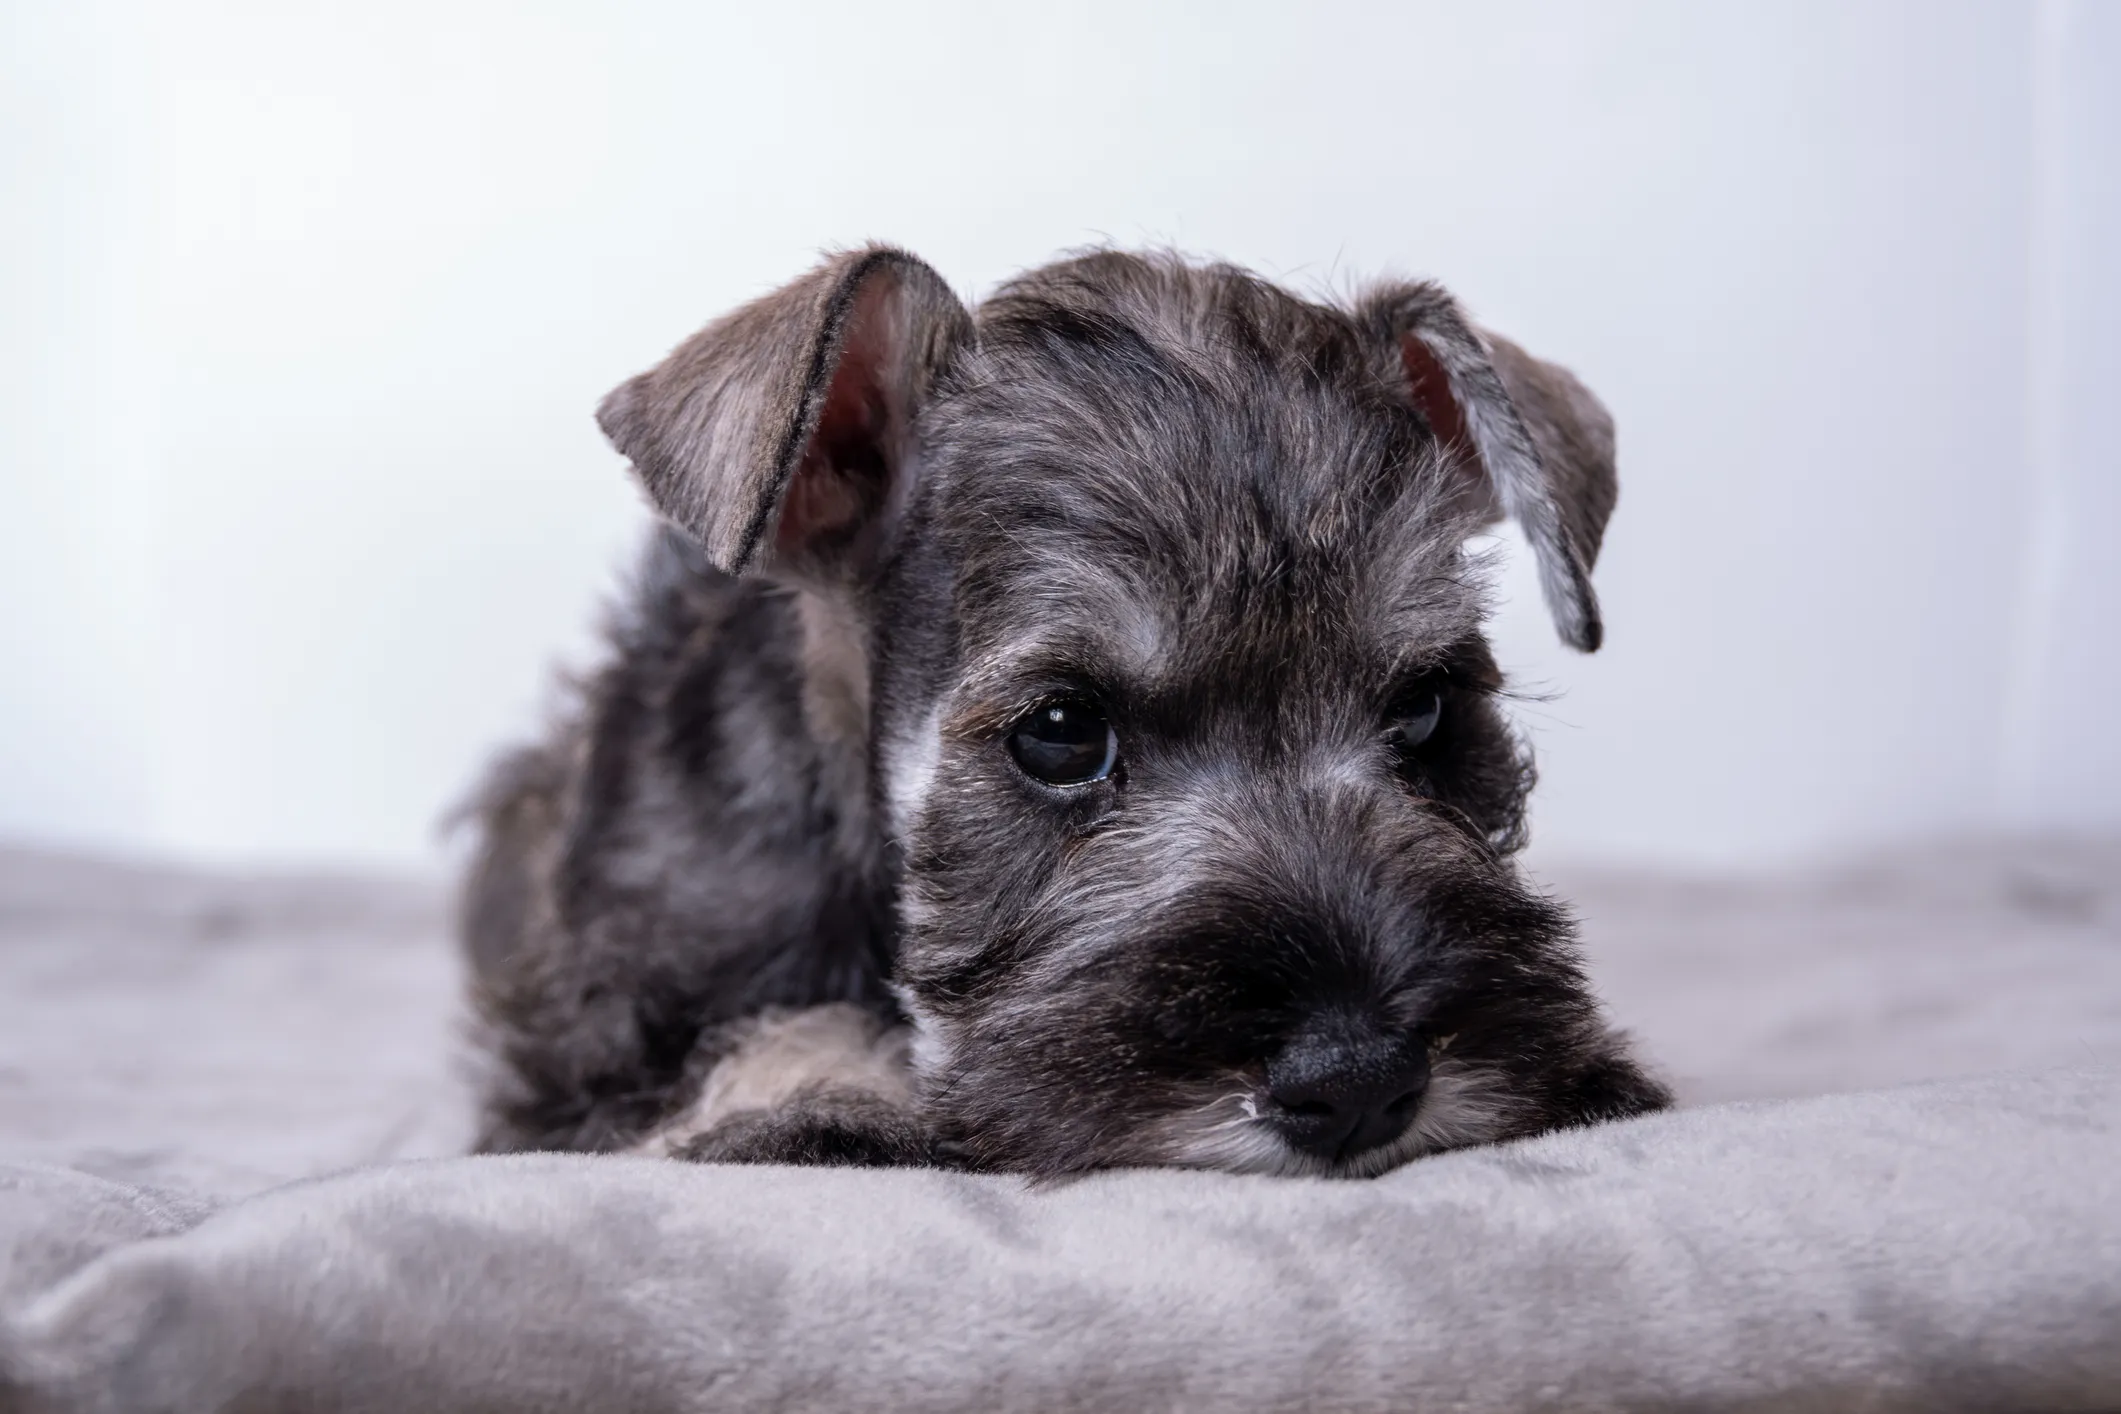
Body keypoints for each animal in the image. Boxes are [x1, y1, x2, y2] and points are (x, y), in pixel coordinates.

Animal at [456, 245, 1662, 1187]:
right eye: (1060, 730)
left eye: (1423, 708)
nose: (1359, 1083)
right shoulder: (595, 1053)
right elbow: (771, 1037)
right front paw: (821, 1101)